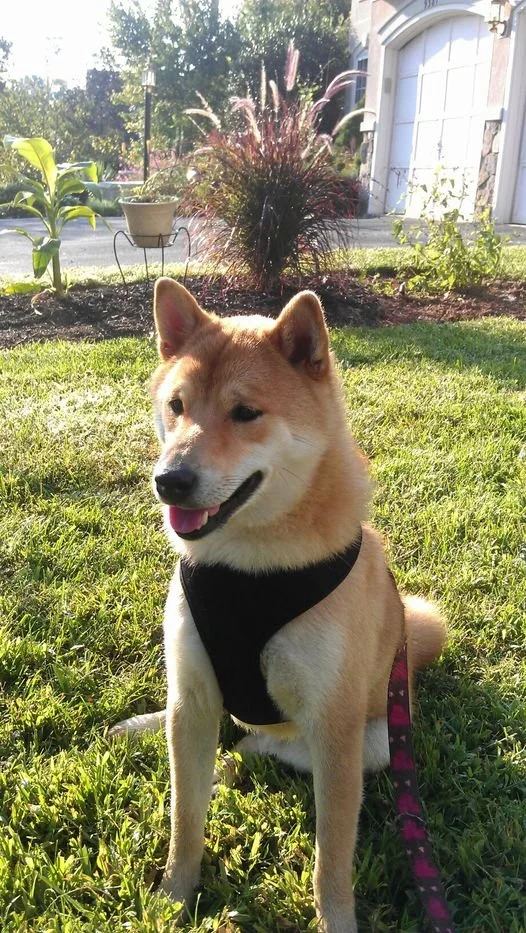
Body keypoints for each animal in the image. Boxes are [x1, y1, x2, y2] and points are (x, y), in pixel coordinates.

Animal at [111, 278, 446, 932]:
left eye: (246, 413)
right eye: (177, 406)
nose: (170, 480)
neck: (247, 569)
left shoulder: (335, 728)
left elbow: (330, 859)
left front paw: (337, 922)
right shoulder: (193, 691)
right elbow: (183, 820)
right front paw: (173, 897)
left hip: (376, 742)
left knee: (261, 744)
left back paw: (238, 759)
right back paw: (148, 727)